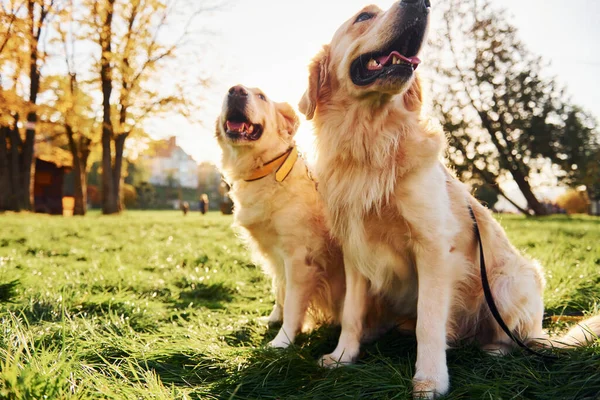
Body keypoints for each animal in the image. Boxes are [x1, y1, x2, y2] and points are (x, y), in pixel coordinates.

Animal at [216, 83, 346, 346]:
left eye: (261, 96)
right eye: (228, 92)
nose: (236, 90)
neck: (266, 169)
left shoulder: (299, 258)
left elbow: (294, 302)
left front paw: (282, 341)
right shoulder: (275, 255)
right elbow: (279, 289)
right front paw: (274, 318)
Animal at [298, 1, 600, 398]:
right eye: (364, 17)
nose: (421, 3)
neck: (372, 140)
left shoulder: (433, 249)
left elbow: (429, 321)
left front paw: (430, 380)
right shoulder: (354, 250)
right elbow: (351, 312)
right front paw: (343, 356)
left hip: (508, 281)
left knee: (516, 337)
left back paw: (494, 349)